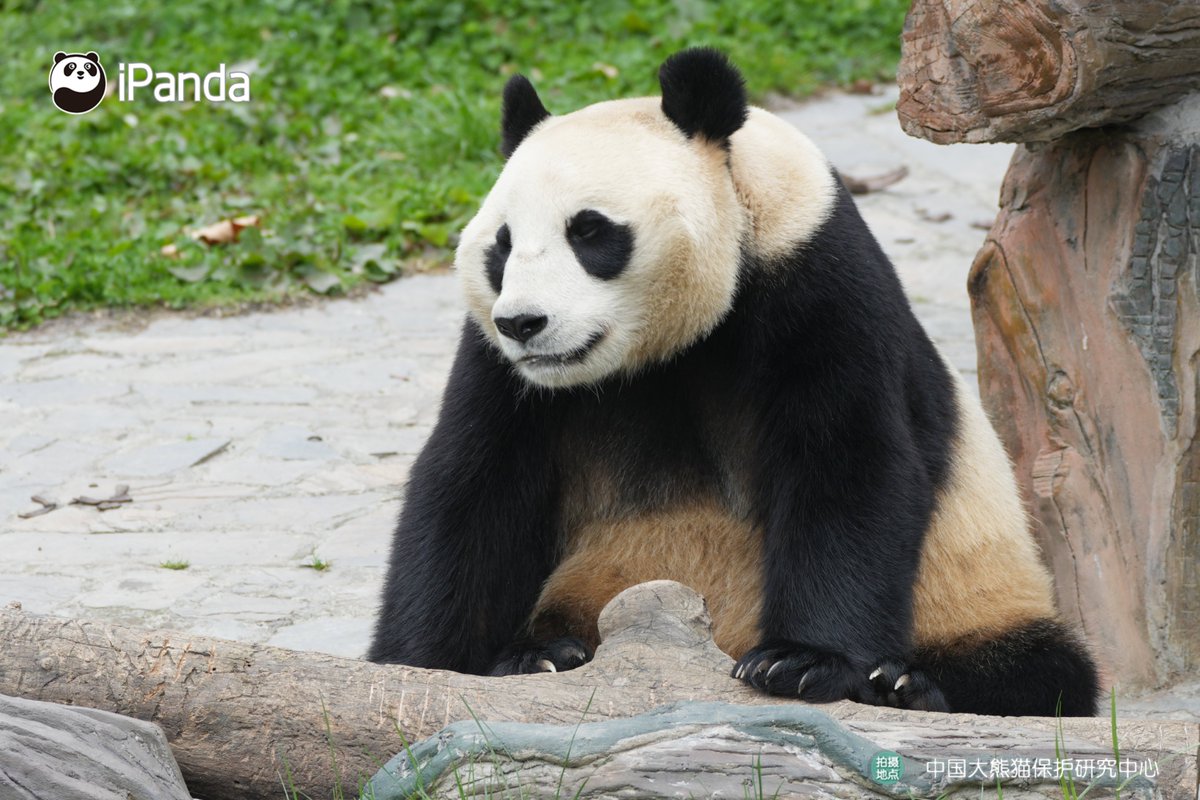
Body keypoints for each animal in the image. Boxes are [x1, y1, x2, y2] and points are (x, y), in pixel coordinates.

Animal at [369, 47, 1100, 716]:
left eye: (590, 231)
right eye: (502, 244)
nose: (524, 323)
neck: (661, 350)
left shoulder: (817, 285)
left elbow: (848, 462)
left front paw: (801, 663)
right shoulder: (500, 368)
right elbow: (473, 487)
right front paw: (421, 665)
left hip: (977, 588)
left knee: (1042, 669)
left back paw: (908, 686)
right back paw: (544, 655)